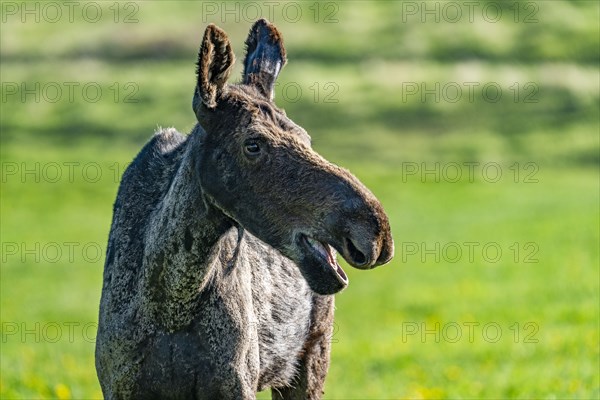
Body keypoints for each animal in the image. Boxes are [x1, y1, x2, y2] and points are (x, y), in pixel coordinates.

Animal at [95, 19, 394, 400]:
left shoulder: (236, 385)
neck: (171, 299)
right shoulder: (120, 385)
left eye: (306, 138)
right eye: (253, 144)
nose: (376, 232)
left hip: (310, 360)